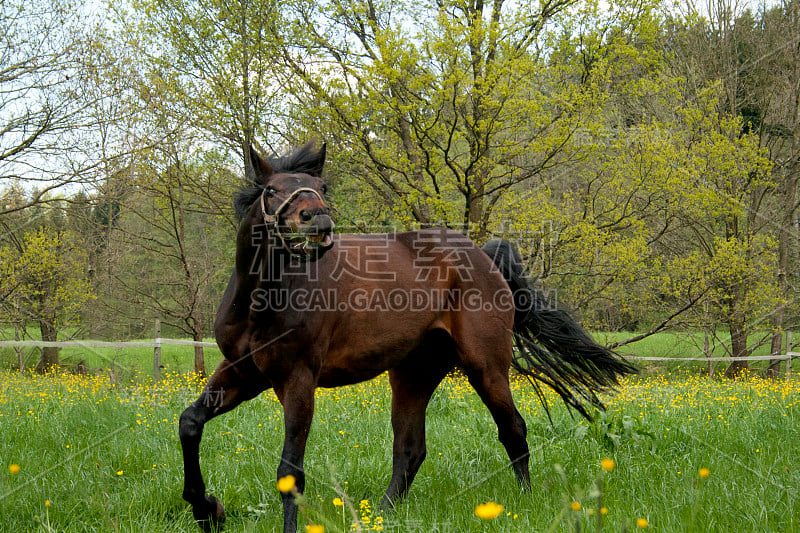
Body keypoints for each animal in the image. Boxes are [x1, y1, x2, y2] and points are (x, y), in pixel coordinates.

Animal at [178, 141, 636, 532]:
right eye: (272, 191)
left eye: (322, 187)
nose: (318, 222)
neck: (262, 299)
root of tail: (483, 256)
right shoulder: (244, 372)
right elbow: (190, 423)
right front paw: (207, 510)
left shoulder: (297, 379)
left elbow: (290, 470)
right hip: (414, 373)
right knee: (410, 448)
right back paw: (381, 515)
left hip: (485, 367)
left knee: (513, 429)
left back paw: (523, 501)